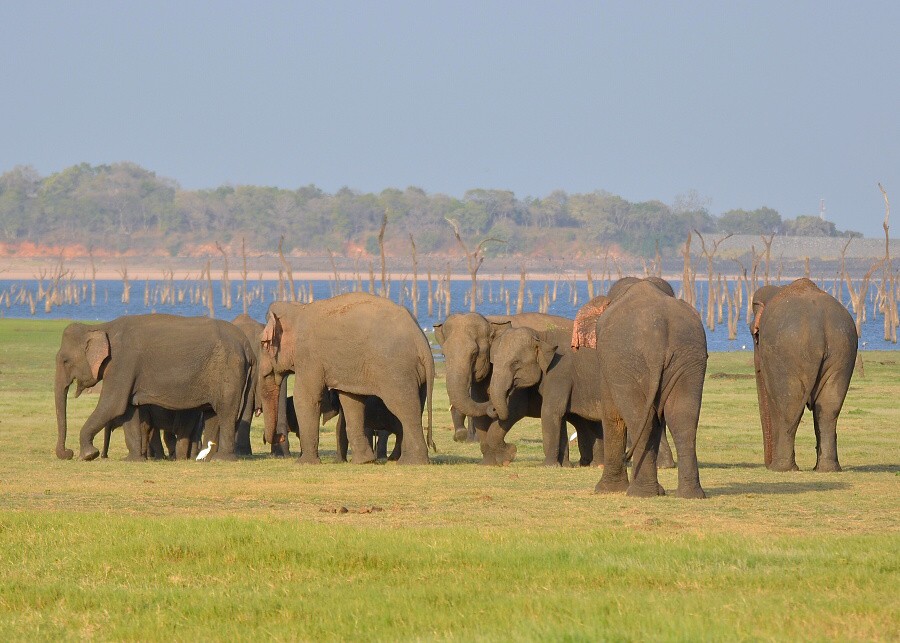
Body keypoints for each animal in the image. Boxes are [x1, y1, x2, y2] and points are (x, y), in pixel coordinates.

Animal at [55, 314, 256, 460]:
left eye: (65, 361)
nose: (67, 453)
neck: (103, 327)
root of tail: (247, 346)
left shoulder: (122, 363)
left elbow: (112, 405)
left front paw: (88, 455)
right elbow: (128, 410)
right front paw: (132, 460)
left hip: (230, 371)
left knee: (226, 411)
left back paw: (222, 459)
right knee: (212, 414)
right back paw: (206, 459)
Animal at [258, 294, 434, 466]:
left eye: (263, 343)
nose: (280, 436)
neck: (298, 309)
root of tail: (420, 338)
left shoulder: (308, 356)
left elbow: (305, 398)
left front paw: (304, 463)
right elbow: (351, 401)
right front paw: (364, 461)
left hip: (395, 369)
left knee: (403, 406)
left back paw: (411, 463)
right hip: (414, 373)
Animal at [588, 276, 708, 498]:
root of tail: (657, 330)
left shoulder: (607, 359)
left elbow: (612, 414)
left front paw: (605, 490)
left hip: (627, 361)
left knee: (637, 417)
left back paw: (640, 493)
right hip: (689, 356)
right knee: (683, 418)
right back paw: (689, 494)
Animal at [748, 278, 856, 472]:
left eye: (754, 334)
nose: (766, 464)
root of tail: (817, 329)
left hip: (786, 354)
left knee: (788, 406)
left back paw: (780, 468)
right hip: (843, 351)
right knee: (828, 409)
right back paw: (826, 469)